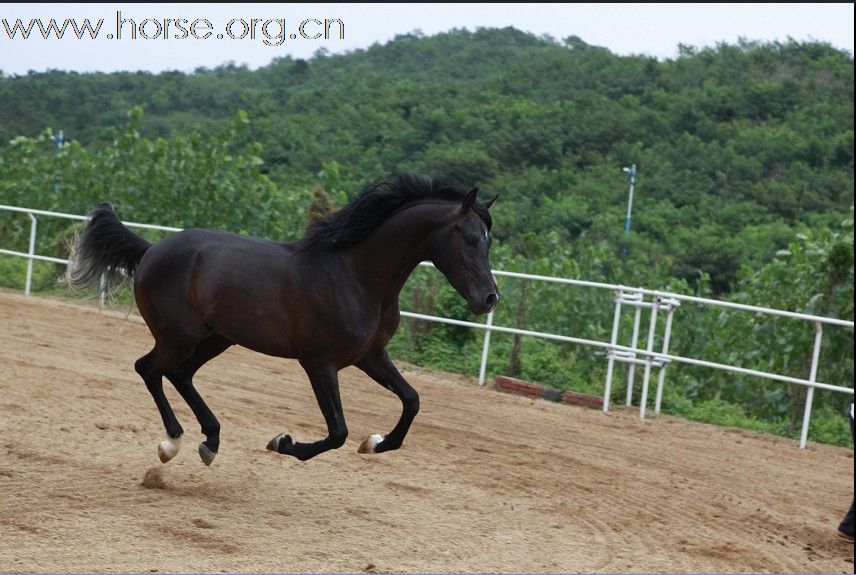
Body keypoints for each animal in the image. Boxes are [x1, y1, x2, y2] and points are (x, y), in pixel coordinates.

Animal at [68, 174, 502, 468]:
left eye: (489, 240)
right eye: (469, 239)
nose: (489, 298)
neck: (355, 276)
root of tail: (151, 249)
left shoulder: (371, 356)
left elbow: (411, 401)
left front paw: (376, 442)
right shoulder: (319, 363)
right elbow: (338, 431)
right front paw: (282, 442)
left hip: (217, 337)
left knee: (179, 374)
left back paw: (210, 442)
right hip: (180, 336)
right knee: (149, 368)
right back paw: (172, 443)